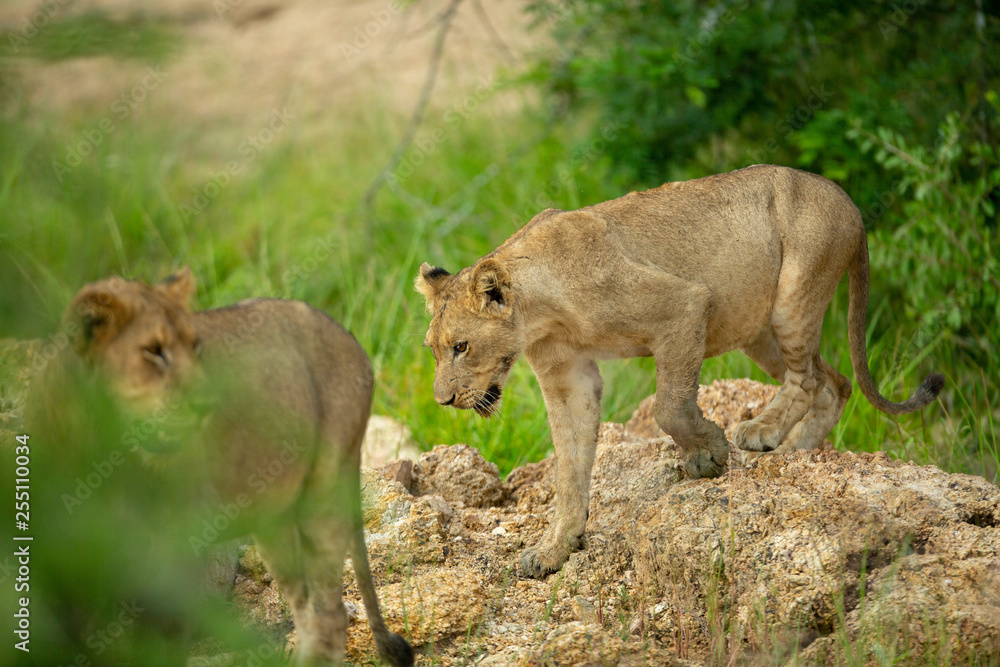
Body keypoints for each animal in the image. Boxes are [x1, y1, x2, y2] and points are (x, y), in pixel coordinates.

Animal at [27, 268, 413, 666]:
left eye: (195, 347)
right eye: (153, 350)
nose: (206, 403)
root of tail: (353, 340)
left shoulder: (178, 536)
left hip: (325, 491)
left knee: (329, 616)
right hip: (275, 520)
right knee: (307, 611)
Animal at [416, 164, 944, 579]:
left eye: (461, 346)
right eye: (433, 350)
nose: (443, 400)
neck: (540, 310)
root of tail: (845, 199)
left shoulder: (682, 306)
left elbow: (670, 406)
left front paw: (708, 455)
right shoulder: (567, 376)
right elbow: (570, 464)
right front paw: (556, 547)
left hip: (793, 296)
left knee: (809, 379)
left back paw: (762, 432)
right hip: (756, 327)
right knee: (834, 384)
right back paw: (792, 450)